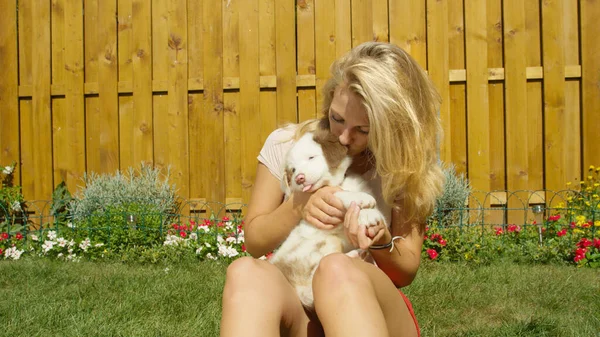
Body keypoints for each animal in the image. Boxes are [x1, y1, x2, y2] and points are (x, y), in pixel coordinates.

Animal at [270, 127, 386, 308]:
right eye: (293, 169)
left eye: (311, 157)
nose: (299, 178)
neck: (339, 182)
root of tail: (296, 288)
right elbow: (338, 194)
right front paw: (361, 200)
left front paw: (369, 214)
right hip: (325, 245)